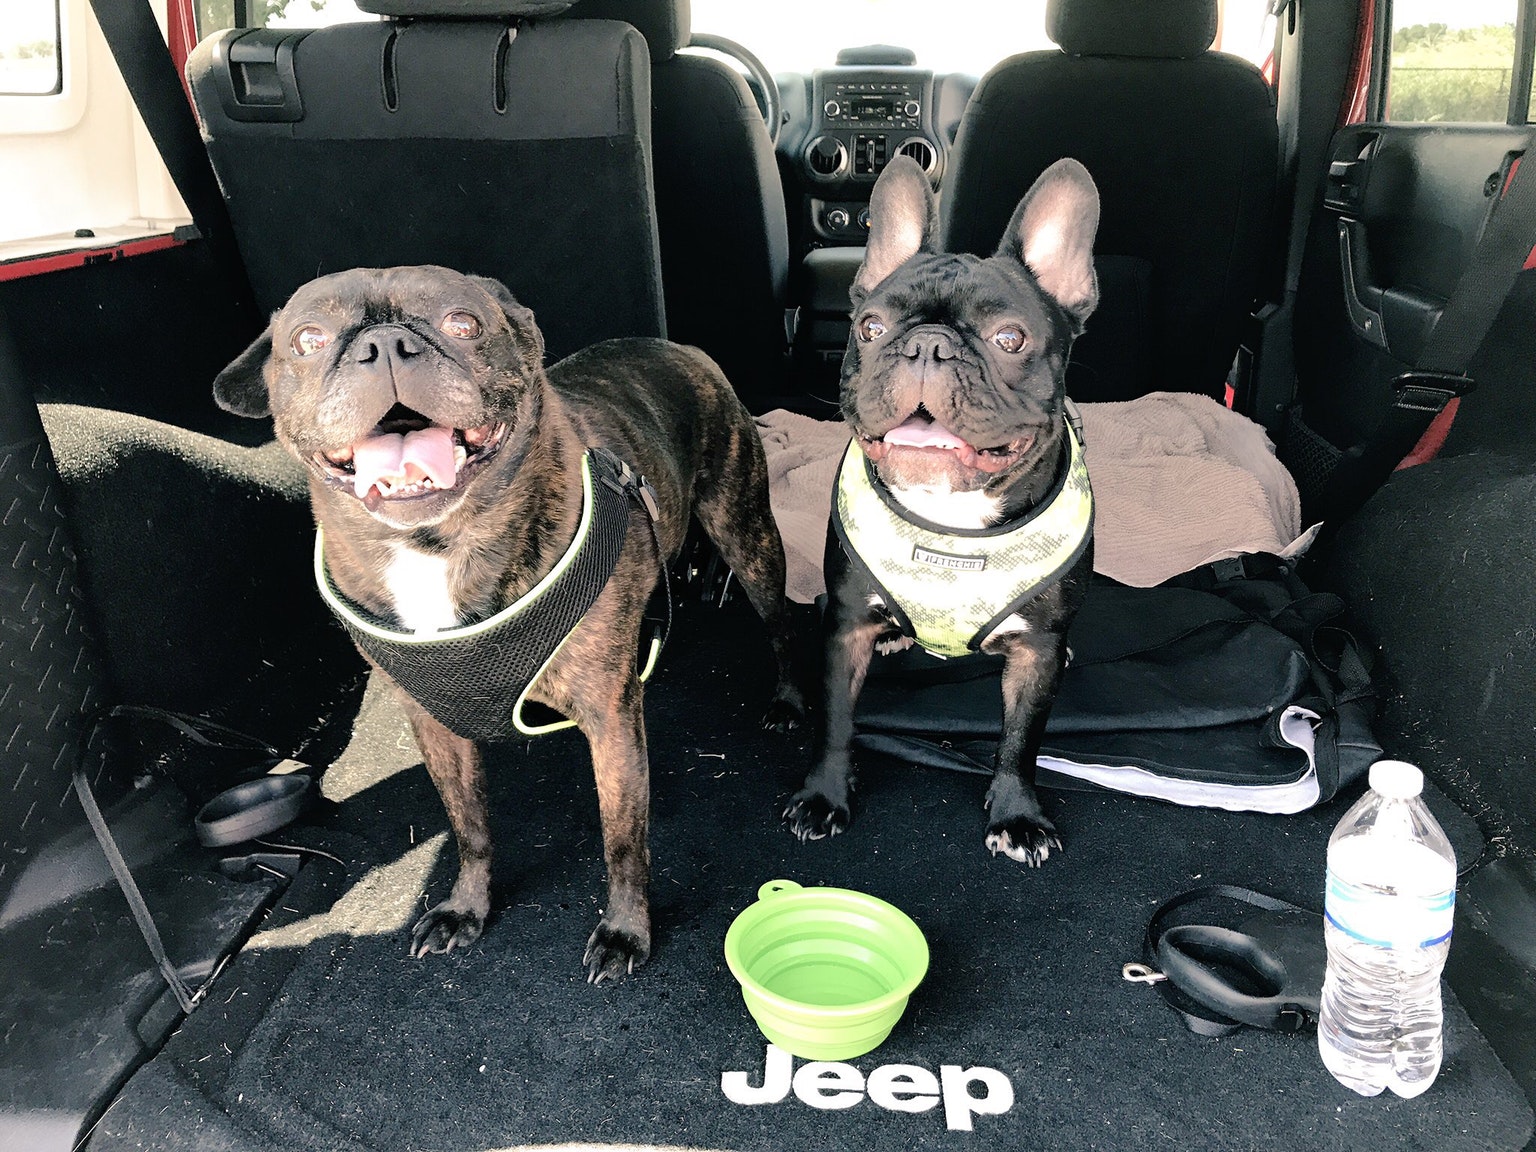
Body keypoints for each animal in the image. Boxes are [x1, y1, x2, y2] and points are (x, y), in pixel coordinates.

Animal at [215, 268, 804, 983]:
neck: (435, 544)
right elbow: (468, 826)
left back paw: (788, 698)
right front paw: (465, 908)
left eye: (464, 323)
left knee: (780, 621)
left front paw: (625, 931)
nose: (384, 345)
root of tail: (680, 348)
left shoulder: (609, 723)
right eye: (308, 338)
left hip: (747, 531)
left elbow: (622, 839)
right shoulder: (434, 728)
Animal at [786, 155, 1099, 866]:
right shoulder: (844, 630)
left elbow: (1021, 738)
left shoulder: (1034, 654)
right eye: (870, 328)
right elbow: (836, 721)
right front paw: (824, 796)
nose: (927, 346)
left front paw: (1017, 815)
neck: (950, 519)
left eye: (1009, 338)